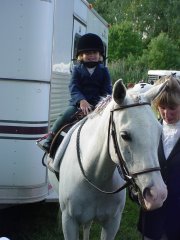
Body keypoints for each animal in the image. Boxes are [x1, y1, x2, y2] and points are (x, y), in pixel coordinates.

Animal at [47, 80, 167, 240]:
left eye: (159, 131)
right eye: (124, 135)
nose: (157, 195)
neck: (94, 177)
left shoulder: (112, 224)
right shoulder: (69, 222)